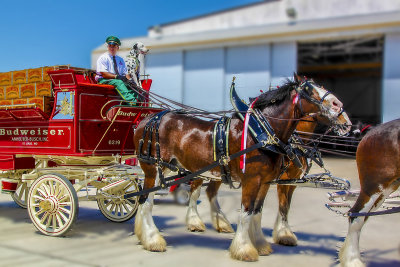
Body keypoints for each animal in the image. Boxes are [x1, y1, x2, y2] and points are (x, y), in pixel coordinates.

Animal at [134, 75, 346, 262]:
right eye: (309, 90)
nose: (339, 107)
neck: (262, 133)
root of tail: (147, 120)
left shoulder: (266, 182)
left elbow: (257, 212)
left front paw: (260, 244)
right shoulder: (253, 180)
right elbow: (246, 212)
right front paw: (244, 249)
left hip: (175, 169)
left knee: (150, 199)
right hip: (153, 169)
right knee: (146, 202)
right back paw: (153, 240)